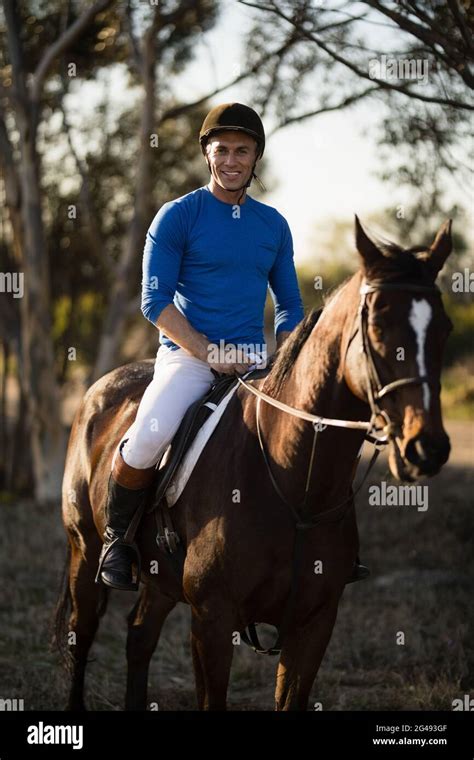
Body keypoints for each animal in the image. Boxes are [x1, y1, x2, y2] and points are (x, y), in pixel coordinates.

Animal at [53, 217, 454, 708]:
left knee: (139, 637)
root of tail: (100, 388)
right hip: (85, 551)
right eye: (378, 325)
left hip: (160, 578)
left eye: (444, 329)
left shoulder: (313, 626)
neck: (295, 486)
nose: (426, 448)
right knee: (82, 635)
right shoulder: (212, 619)